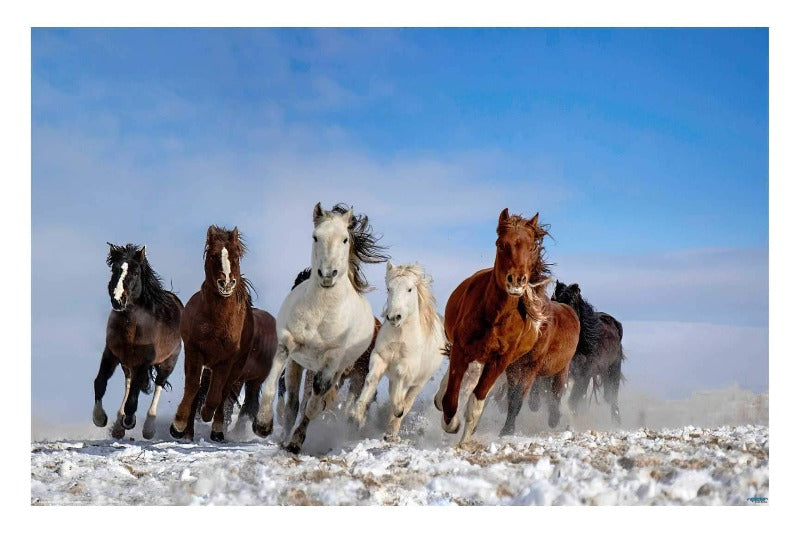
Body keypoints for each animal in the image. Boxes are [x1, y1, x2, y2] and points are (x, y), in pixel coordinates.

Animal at [92, 243, 183, 438]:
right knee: (128, 383)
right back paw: (118, 425)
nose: (118, 300)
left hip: (168, 362)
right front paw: (100, 418)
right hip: (127, 363)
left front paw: (129, 420)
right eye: (115, 269)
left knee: (158, 385)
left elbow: (134, 396)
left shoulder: (144, 360)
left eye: (134, 273)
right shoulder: (111, 353)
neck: (132, 326)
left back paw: (148, 428)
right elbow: (100, 382)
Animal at [170, 225, 278, 440]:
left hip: (240, 371)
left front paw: (207, 415)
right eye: (213, 255)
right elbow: (192, 388)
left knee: (224, 393)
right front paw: (178, 426)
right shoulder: (194, 351)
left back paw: (218, 429)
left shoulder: (226, 361)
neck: (215, 322)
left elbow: (216, 395)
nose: (226, 283)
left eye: (235, 256)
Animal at [250, 202, 388, 450]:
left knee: (312, 402)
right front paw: (263, 425)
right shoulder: (288, 345)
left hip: (339, 370)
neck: (321, 311)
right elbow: (272, 384)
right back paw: (284, 437)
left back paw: (294, 439)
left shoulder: (331, 364)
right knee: (292, 404)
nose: (327, 275)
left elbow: (315, 405)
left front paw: (297, 440)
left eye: (344, 239)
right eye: (316, 236)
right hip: (299, 364)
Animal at [352, 260, 450, 438]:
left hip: (419, 383)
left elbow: (400, 384)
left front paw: (398, 410)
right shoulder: (379, 357)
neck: (399, 336)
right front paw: (357, 414)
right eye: (389, 288)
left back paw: (393, 427)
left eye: (409, 289)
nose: (394, 317)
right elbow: (372, 379)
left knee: (408, 400)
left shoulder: (407, 366)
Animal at [532, 280, 624, 422]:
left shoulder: (584, 374)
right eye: (553, 301)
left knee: (611, 398)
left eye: (570, 304)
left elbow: (573, 400)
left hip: (613, 370)